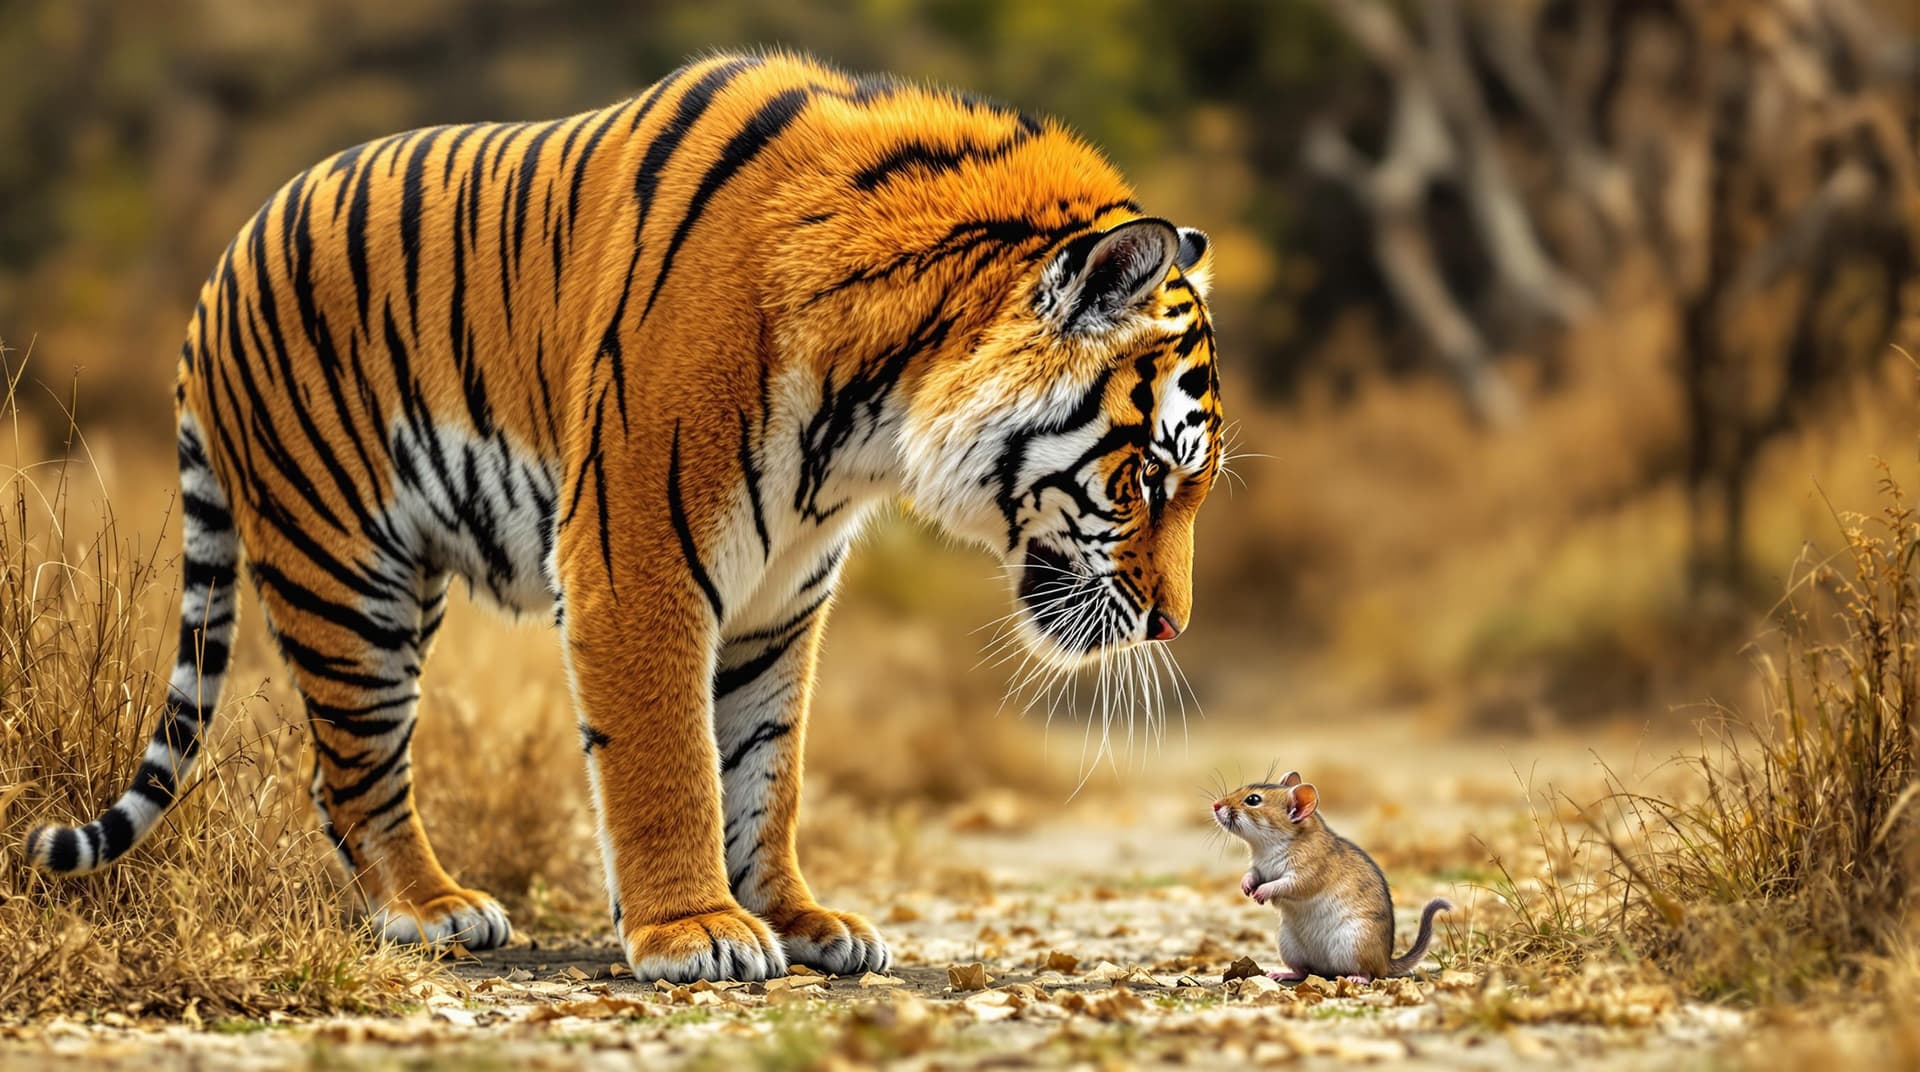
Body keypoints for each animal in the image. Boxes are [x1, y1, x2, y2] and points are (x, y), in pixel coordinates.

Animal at [25, 49, 1224, 982]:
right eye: (1150, 479)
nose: (1173, 624)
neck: (871, 416)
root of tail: (215, 276)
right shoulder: (637, 556)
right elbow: (669, 760)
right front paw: (696, 931)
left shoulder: (782, 597)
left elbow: (766, 765)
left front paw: (796, 919)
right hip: (344, 571)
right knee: (350, 767)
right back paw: (433, 911)